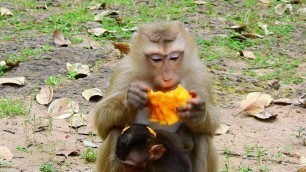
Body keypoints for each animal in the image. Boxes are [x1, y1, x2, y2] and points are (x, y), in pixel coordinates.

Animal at [94, 20, 219, 171]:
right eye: (156, 59)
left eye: (174, 57)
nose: (167, 78)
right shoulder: (124, 71)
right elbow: (103, 126)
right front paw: (131, 98)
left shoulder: (200, 74)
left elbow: (211, 129)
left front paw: (197, 111)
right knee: (114, 131)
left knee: (202, 137)